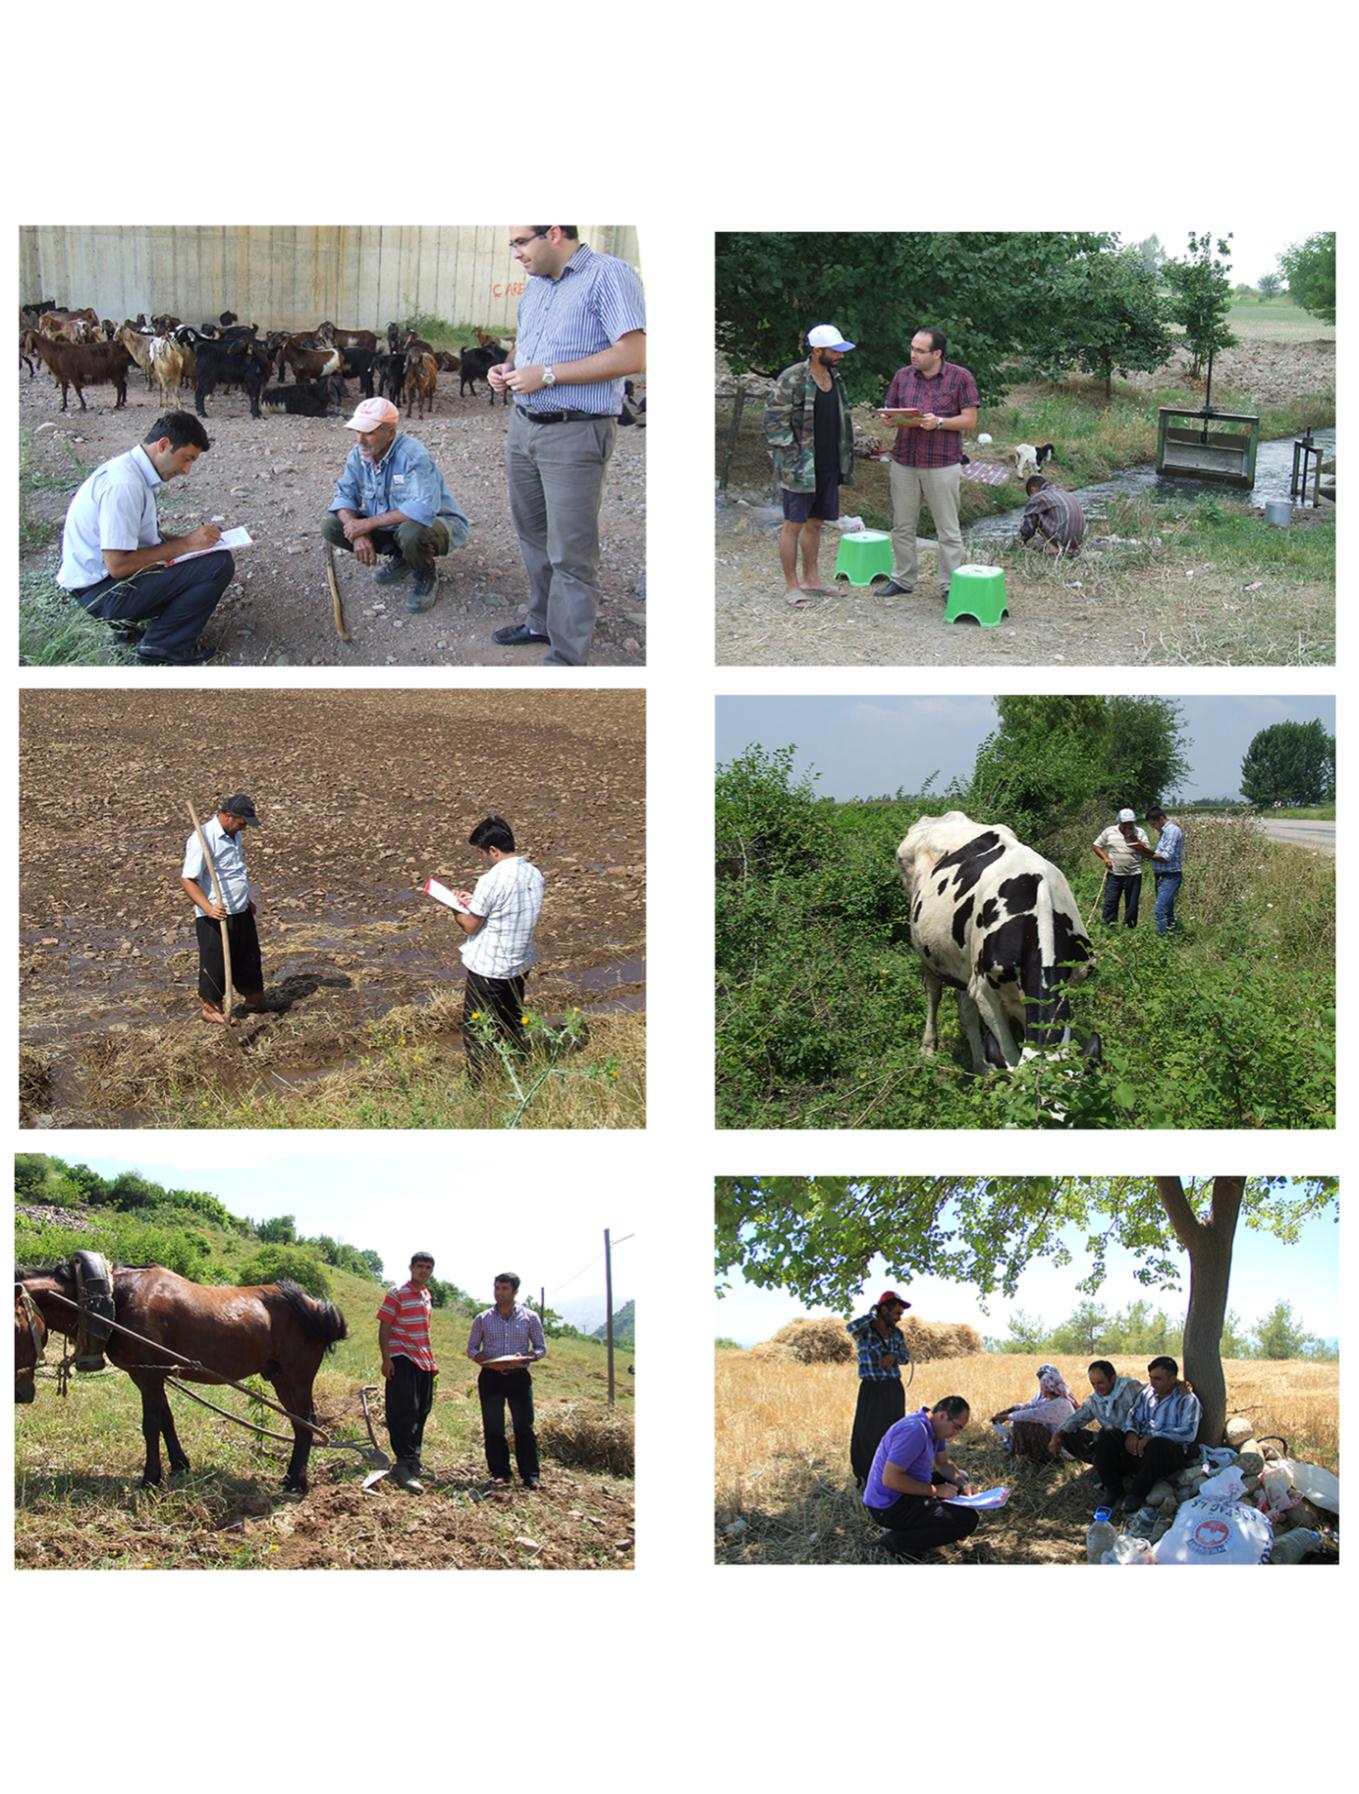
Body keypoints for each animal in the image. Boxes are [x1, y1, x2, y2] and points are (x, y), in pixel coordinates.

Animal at [17, 1255, 346, 1492]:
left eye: (16, 1328)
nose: (21, 1394)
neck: (116, 1297)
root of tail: (316, 1307)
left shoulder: (148, 1376)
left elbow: (151, 1425)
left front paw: (151, 1478)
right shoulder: (152, 1375)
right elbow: (166, 1420)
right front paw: (179, 1466)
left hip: (296, 1378)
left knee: (307, 1423)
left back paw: (297, 1482)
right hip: (280, 1378)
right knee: (300, 1424)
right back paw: (291, 1477)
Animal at [892, 810, 1104, 1069]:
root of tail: (939, 817)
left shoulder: (1071, 983)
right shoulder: (985, 993)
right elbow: (1008, 1054)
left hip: (962, 958)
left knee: (966, 1009)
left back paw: (980, 1066)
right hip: (926, 948)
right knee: (934, 992)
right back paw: (929, 1047)